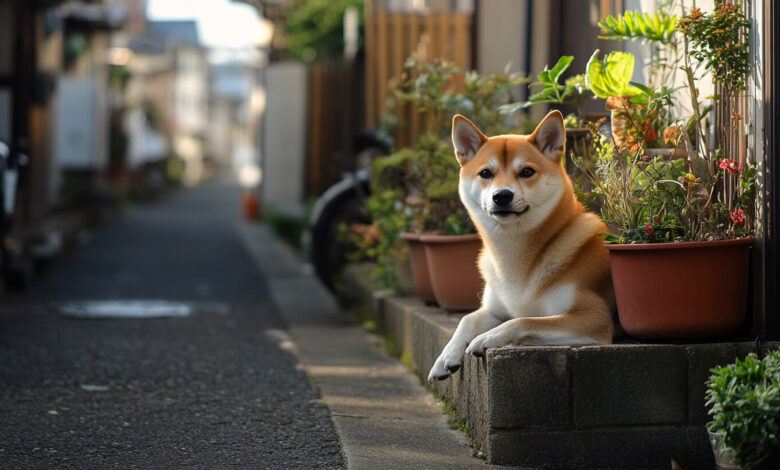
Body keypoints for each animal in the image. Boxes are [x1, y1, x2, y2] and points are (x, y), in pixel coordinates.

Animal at [426, 112, 616, 384]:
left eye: (527, 171)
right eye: (486, 173)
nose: (502, 195)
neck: (513, 258)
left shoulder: (594, 318)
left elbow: (524, 320)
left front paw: (486, 338)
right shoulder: (495, 309)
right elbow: (467, 318)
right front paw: (445, 357)